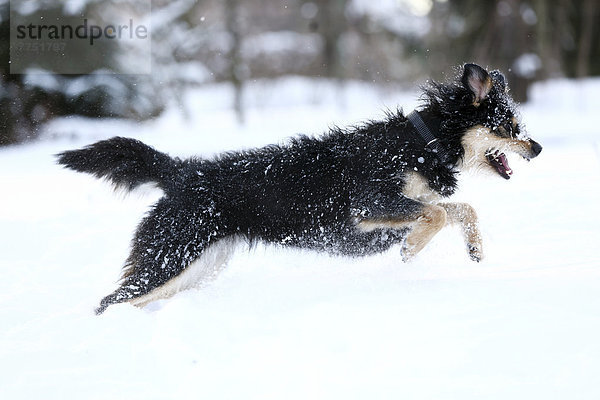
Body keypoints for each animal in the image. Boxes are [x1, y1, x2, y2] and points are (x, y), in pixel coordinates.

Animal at [58, 62, 540, 314]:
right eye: (508, 126)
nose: (536, 147)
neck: (423, 143)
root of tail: (182, 172)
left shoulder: (402, 207)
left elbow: (460, 208)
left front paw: (475, 249)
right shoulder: (368, 208)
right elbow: (439, 212)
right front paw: (412, 249)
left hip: (197, 266)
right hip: (169, 258)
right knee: (111, 299)